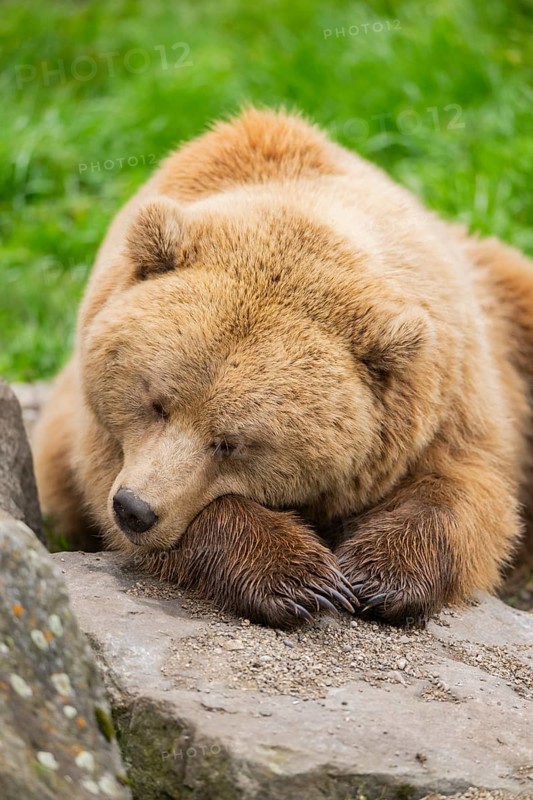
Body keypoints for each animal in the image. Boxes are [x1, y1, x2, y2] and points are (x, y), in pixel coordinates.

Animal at [33, 108, 533, 629]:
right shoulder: (97, 438)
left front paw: (377, 576)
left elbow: (465, 490)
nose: (135, 509)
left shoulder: (447, 400)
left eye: (230, 443)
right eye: (156, 404)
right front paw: (301, 577)